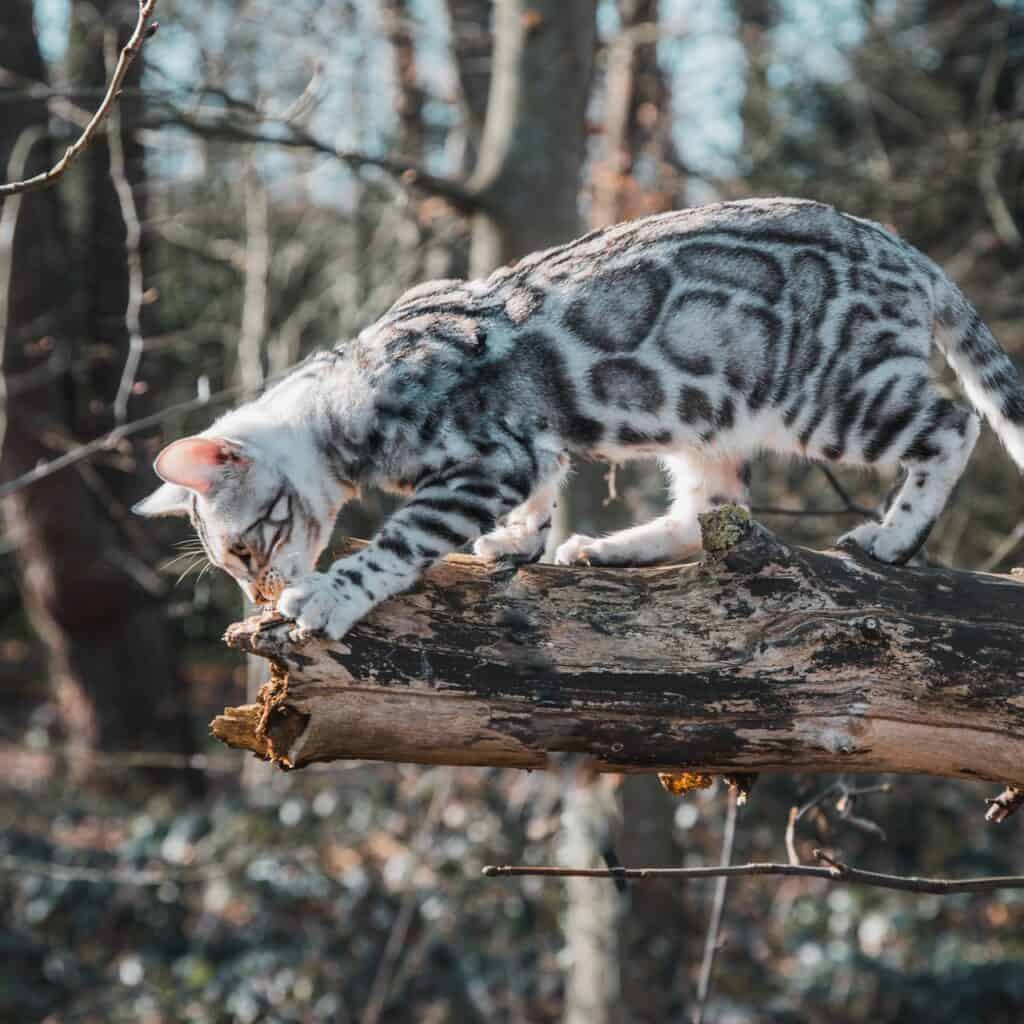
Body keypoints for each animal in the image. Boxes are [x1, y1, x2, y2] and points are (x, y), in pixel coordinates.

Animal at [136, 199, 1024, 638]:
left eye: (246, 549)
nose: (258, 593)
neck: (346, 391)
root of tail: (903, 248)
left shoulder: (488, 457)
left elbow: (400, 541)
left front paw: (326, 598)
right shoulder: (531, 452)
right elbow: (538, 500)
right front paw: (519, 544)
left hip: (835, 398)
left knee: (955, 424)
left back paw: (895, 537)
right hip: (706, 419)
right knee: (711, 511)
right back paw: (606, 549)